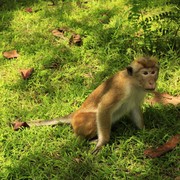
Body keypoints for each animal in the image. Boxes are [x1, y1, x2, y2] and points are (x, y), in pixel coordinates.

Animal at [14, 56, 160, 153]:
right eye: (145, 73)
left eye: (153, 72)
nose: (152, 82)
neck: (133, 82)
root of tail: (74, 115)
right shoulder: (120, 89)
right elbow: (104, 108)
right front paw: (102, 142)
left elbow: (134, 108)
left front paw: (144, 130)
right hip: (80, 121)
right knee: (92, 120)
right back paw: (83, 139)